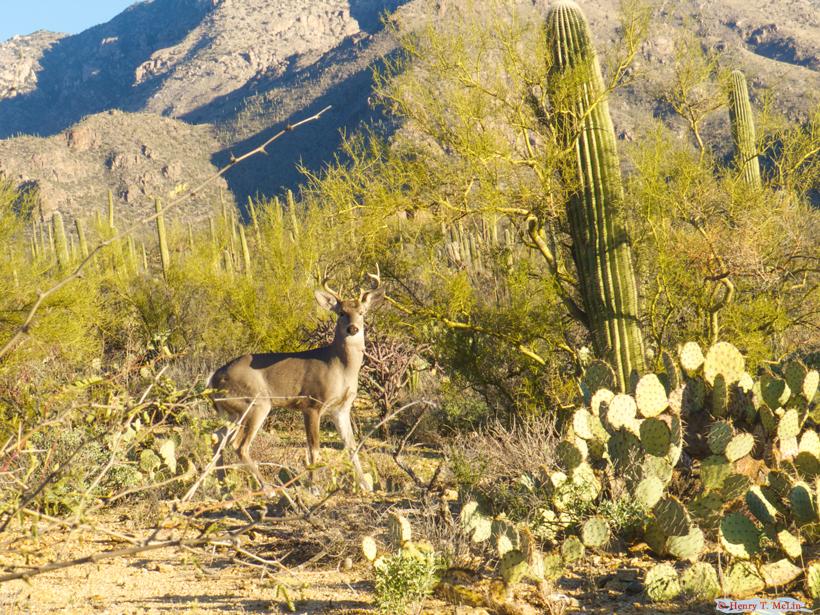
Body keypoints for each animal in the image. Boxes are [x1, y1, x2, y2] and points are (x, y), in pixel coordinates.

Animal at [208, 268, 384, 495]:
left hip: (231, 411)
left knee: (217, 437)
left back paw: (224, 488)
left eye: (362, 312)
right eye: (341, 312)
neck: (339, 366)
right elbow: (314, 449)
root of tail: (213, 379)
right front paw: (314, 487)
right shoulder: (311, 403)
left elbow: (351, 447)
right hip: (255, 403)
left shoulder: (342, 408)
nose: (353, 329)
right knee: (239, 445)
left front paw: (366, 486)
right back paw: (267, 488)